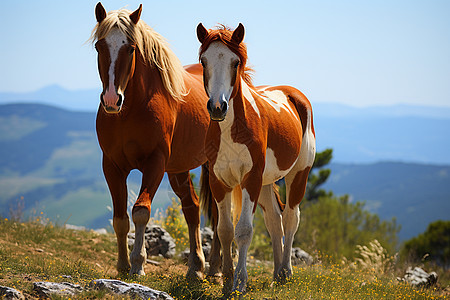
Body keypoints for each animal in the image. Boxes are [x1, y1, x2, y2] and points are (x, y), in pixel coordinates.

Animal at [89, 2, 220, 278]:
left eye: (131, 48)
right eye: (99, 46)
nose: (111, 100)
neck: (131, 110)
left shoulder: (155, 163)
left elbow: (141, 211)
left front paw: (138, 264)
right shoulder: (112, 166)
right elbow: (120, 218)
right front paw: (122, 265)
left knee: (220, 213)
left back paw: (215, 268)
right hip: (179, 169)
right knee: (192, 208)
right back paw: (196, 267)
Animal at [197, 23, 316, 292]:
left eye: (235, 62)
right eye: (203, 61)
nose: (217, 107)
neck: (232, 129)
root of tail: (294, 95)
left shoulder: (249, 179)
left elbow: (243, 231)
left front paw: (240, 282)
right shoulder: (219, 181)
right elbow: (225, 230)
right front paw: (226, 279)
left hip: (297, 176)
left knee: (291, 218)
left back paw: (286, 272)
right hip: (264, 184)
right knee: (274, 220)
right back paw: (277, 273)